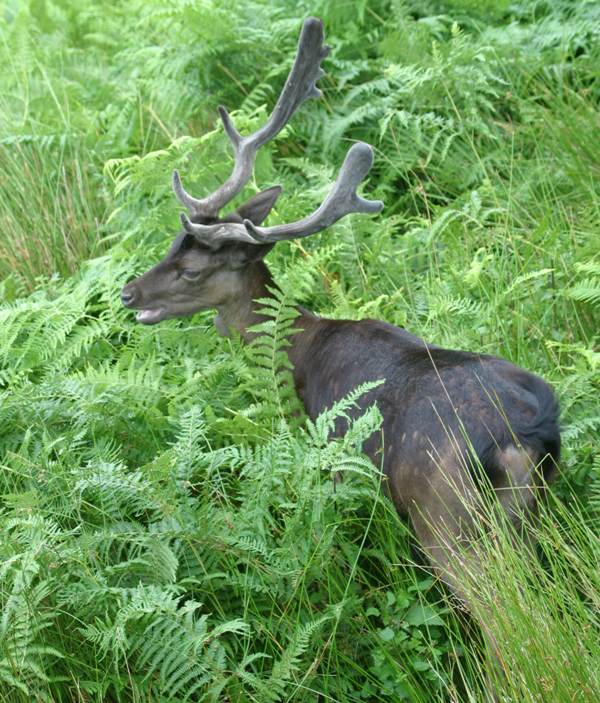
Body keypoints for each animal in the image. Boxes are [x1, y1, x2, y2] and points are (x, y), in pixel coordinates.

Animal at [121, 16, 560, 690]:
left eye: (192, 269)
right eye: (172, 242)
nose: (128, 292)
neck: (297, 352)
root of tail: (525, 433)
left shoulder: (330, 455)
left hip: (448, 518)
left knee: (507, 617)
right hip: (540, 513)